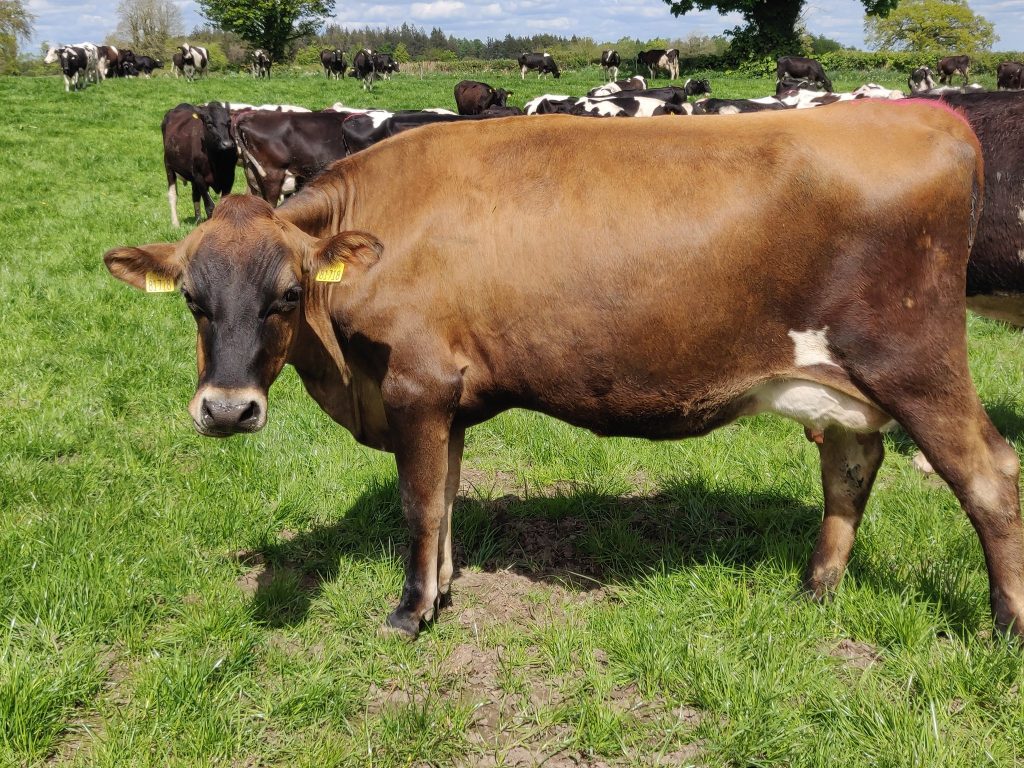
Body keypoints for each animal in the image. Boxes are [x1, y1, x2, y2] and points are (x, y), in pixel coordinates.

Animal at [101, 102, 1024, 643]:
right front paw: (443, 588)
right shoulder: (450, 397)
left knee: (989, 477)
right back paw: (816, 591)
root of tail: (928, 113)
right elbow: (447, 500)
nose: (226, 410)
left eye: (288, 294)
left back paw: (1005, 628)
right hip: (841, 379)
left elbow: (418, 503)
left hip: (916, 361)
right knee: (850, 466)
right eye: (192, 299)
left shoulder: (415, 386)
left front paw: (409, 611)